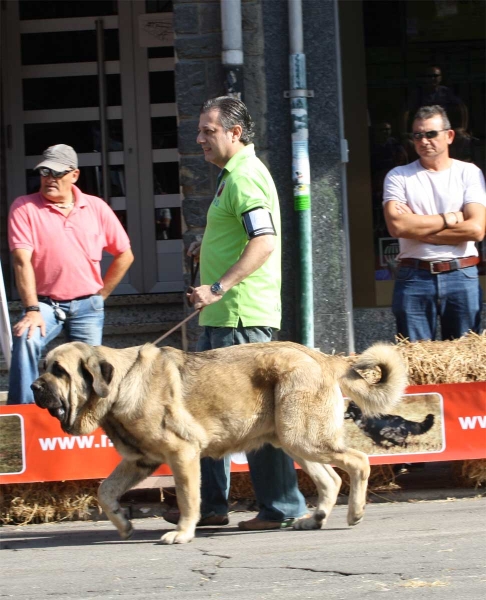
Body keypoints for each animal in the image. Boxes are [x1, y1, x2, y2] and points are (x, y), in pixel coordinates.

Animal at [32, 342, 408, 544]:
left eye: (59, 371)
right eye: (43, 367)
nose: (35, 387)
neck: (121, 384)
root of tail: (324, 358)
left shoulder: (182, 453)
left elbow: (188, 499)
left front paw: (182, 533)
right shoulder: (139, 461)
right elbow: (105, 490)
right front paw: (123, 523)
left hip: (303, 437)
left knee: (359, 462)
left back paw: (355, 512)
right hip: (292, 439)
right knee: (330, 479)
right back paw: (313, 519)